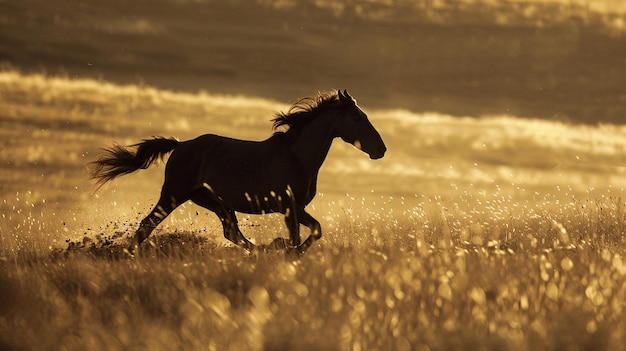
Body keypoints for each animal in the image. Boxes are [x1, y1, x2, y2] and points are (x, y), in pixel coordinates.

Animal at [91, 90, 386, 256]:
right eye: (358, 118)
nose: (380, 149)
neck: (297, 156)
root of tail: (180, 145)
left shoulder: (296, 208)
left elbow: (315, 230)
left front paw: (283, 249)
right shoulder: (289, 207)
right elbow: (302, 235)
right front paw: (288, 251)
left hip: (215, 203)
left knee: (231, 232)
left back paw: (263, 249)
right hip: (174, 195)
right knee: (146, 225)